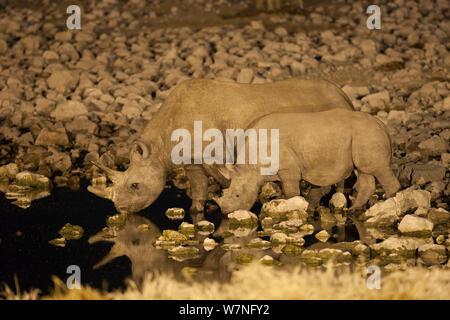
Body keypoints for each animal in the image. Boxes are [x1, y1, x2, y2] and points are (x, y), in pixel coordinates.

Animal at [88, 79, 354, 221]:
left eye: (134, 185)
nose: (121, 209)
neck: (160, 145)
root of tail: (344, 94)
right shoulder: (191, 159)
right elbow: (198, 187)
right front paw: (197, 211)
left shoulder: (216, 153)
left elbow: (222, 178)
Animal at [214, 109, 400, 214]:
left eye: (237, 195)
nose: (225, 211)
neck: (250, 167)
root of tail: (381, 124)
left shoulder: (288, 169)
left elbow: (291, 191)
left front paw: (292, 206)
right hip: (363, 134)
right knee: (364, 170)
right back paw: (353, 210)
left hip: (367, 133)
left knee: (377, 169)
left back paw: (389, 204)